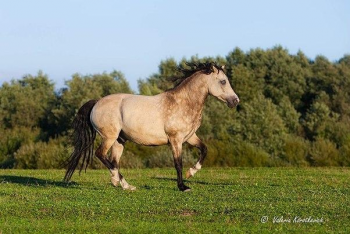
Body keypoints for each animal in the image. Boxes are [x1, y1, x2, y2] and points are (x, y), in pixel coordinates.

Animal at [63, 61, 238, 191]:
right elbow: (178, 163)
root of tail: (96, 102)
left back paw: (124, 185)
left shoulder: (189, 137)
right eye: (223, 81)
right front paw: (183, 186)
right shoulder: (175, 140)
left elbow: (204, 150)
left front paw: (191, 173)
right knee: (101, 155)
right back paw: (116, 179)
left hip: (119, 140)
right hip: (109, 137)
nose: (235, 101)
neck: (183, 102)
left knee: (114, 160)